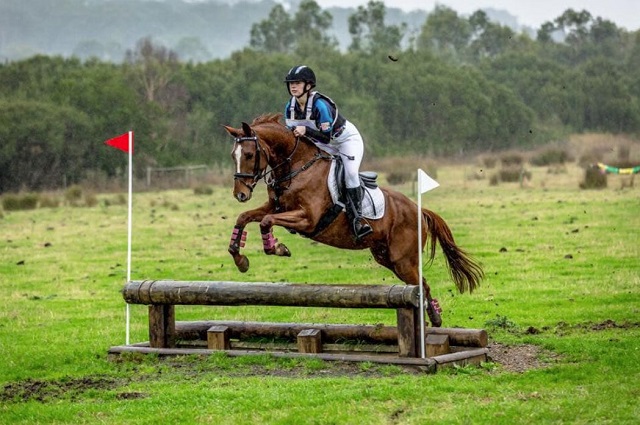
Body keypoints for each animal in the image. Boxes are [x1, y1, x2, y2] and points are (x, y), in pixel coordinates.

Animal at [222, 112, 482, 324]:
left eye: (248, 154)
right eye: (233, 156)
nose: (240, 194)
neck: (296, 167)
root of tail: (419, 210)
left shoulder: (307, 219)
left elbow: (266, 221)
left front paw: (278, 248)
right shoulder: (275, 207)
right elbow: (244, 217)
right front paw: (240, 260)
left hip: (403, 260)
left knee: (421, 285)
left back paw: (433, 320)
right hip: (385, 257)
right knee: (421, 284)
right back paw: (434, 319)